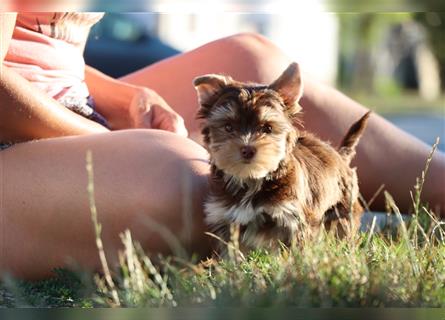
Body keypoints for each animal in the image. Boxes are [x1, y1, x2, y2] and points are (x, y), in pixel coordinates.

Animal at [193, 62, 370, 250]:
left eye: (267, 128)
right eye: (228, 127)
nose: (247, 149)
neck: (252, 181)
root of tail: (340, 156)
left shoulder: (293, 217)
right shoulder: (227, 218)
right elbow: (231, 250)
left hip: (343, 208)